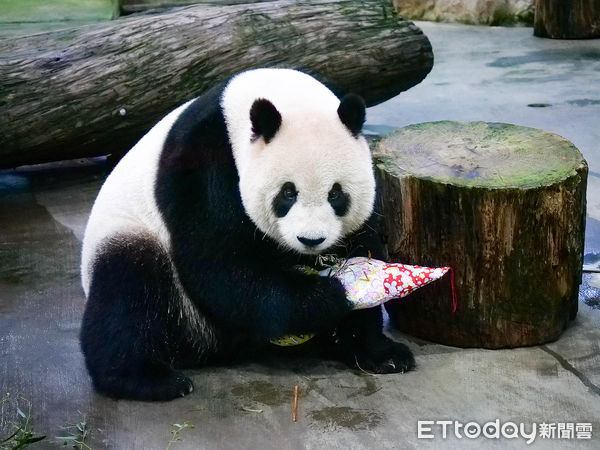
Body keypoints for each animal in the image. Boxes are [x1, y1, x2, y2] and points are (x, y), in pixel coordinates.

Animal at [81, 67, 412, 400]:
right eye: (288, 193)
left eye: (336, 194)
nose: (311, 240)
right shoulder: (202, 167)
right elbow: (220, 265)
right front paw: (326, 297)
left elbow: (364, 247)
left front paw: (379, 352)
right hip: (131, 234)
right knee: (128, 293)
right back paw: (147, 379)